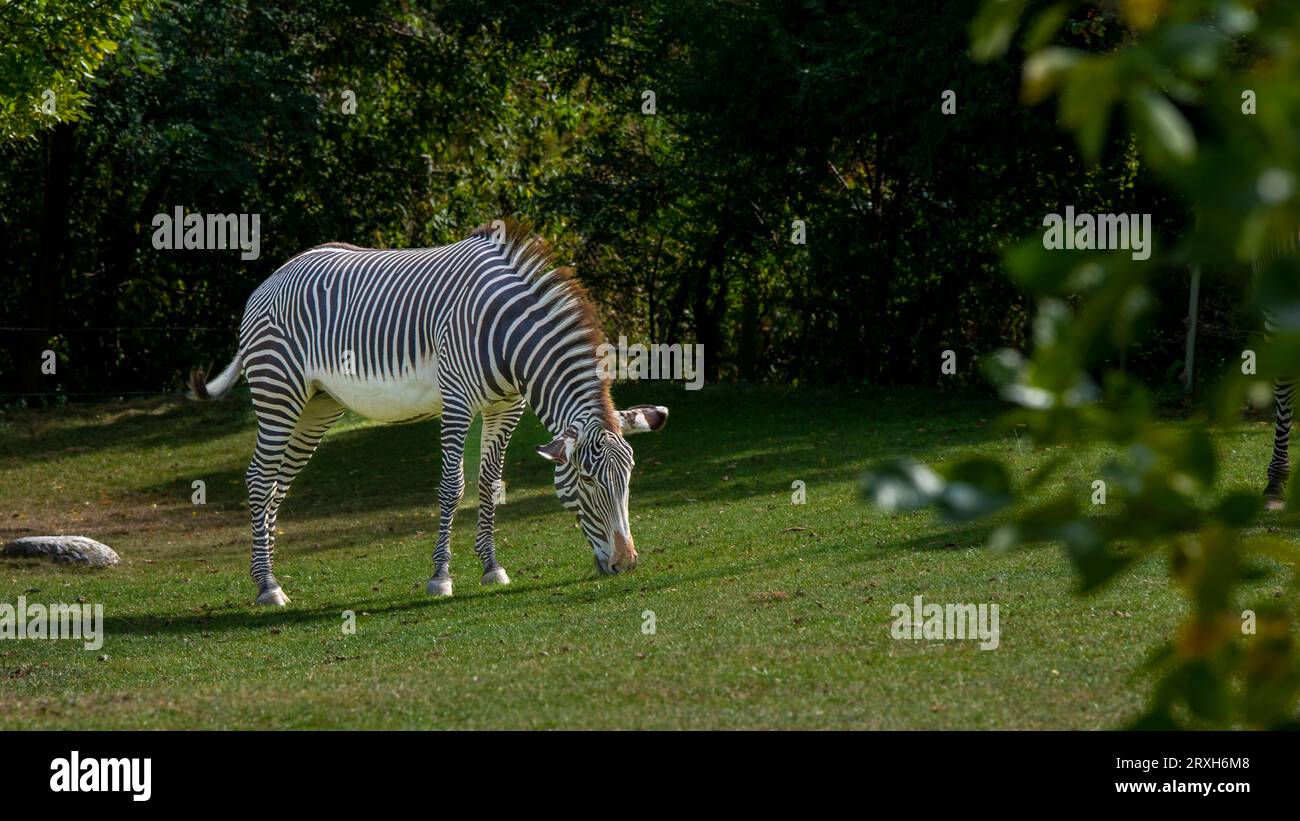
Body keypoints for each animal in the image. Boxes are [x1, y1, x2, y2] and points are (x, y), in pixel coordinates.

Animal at [189, 221, 669, 605]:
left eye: (629, 478)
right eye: (587, 480)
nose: (626, 563)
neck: (508, 335)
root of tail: (273, 276)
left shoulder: (507, 405)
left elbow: (489, 483)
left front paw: (492, 568)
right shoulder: (456, 400)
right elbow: (453, 487)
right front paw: (441, 578)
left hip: (316, 407)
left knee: (275, 486)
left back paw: (267, 576)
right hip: (278, 392)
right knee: (258, 480)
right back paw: (268, 587)